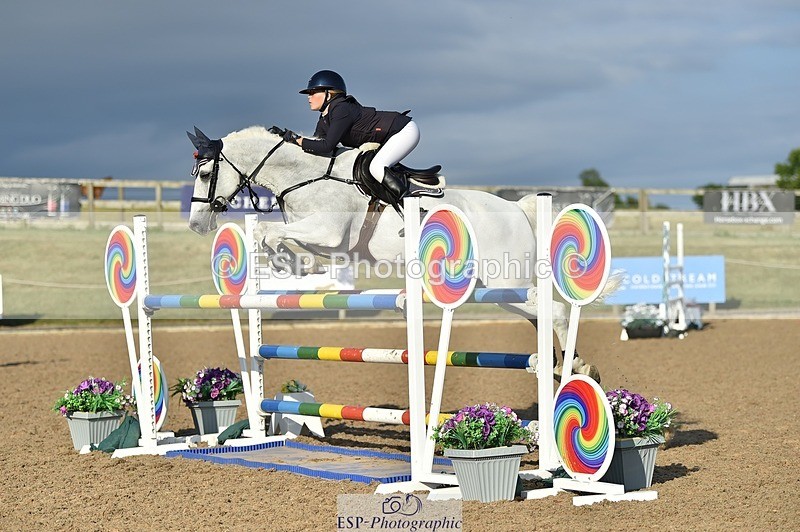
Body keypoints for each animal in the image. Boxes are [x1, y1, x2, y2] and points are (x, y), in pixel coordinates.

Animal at [187, 125, 604, 380]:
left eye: (206, 174)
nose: (195, 224)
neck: (304, 176)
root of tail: (517, 208)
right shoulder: (323, 238)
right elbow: (276, 237)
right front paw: (293, 264)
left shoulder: (329, 233)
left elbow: (271, 231)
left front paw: (293, 262)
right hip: (501, 290)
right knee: (539, 315)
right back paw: (564, 367)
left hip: (504, 282)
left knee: (556, 312)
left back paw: (575, 369)